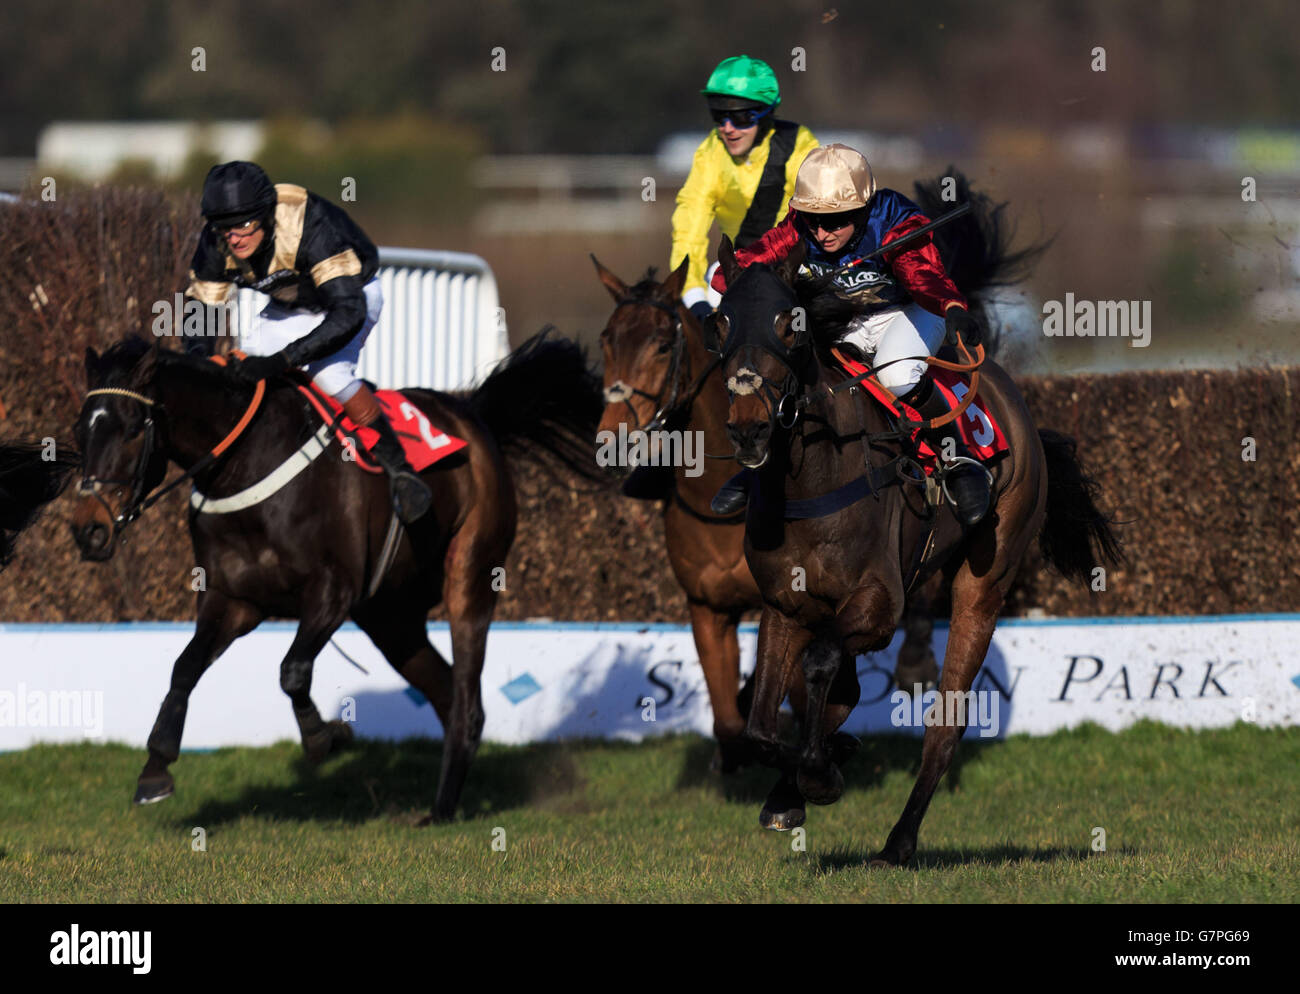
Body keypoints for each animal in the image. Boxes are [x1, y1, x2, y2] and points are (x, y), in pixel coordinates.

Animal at [69, 332, 598, 821]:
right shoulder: (232, 599)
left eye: (131, 428)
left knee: (466, 693)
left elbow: (292, 670)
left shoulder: (332, 592)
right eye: (78, 431)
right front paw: (154, 769)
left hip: (471, 573)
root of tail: (472, 413)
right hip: (391, 616)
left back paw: (442, 808)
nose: (88, 528)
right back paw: (444, 799)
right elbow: (184, 667)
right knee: (447, 692)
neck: (245, 464)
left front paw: (326, 737)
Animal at [707, 239, 1123, 862]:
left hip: (986, 578)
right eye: (722, 322)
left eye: (789, 324)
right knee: (846, 693)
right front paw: (797, 783)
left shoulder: (879, 603)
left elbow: (821, 663)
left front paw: (821, 773)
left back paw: (898, 842)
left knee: (945, 721)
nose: (750, 430)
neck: (814, 476)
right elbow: (761, 725)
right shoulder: (786, 604)